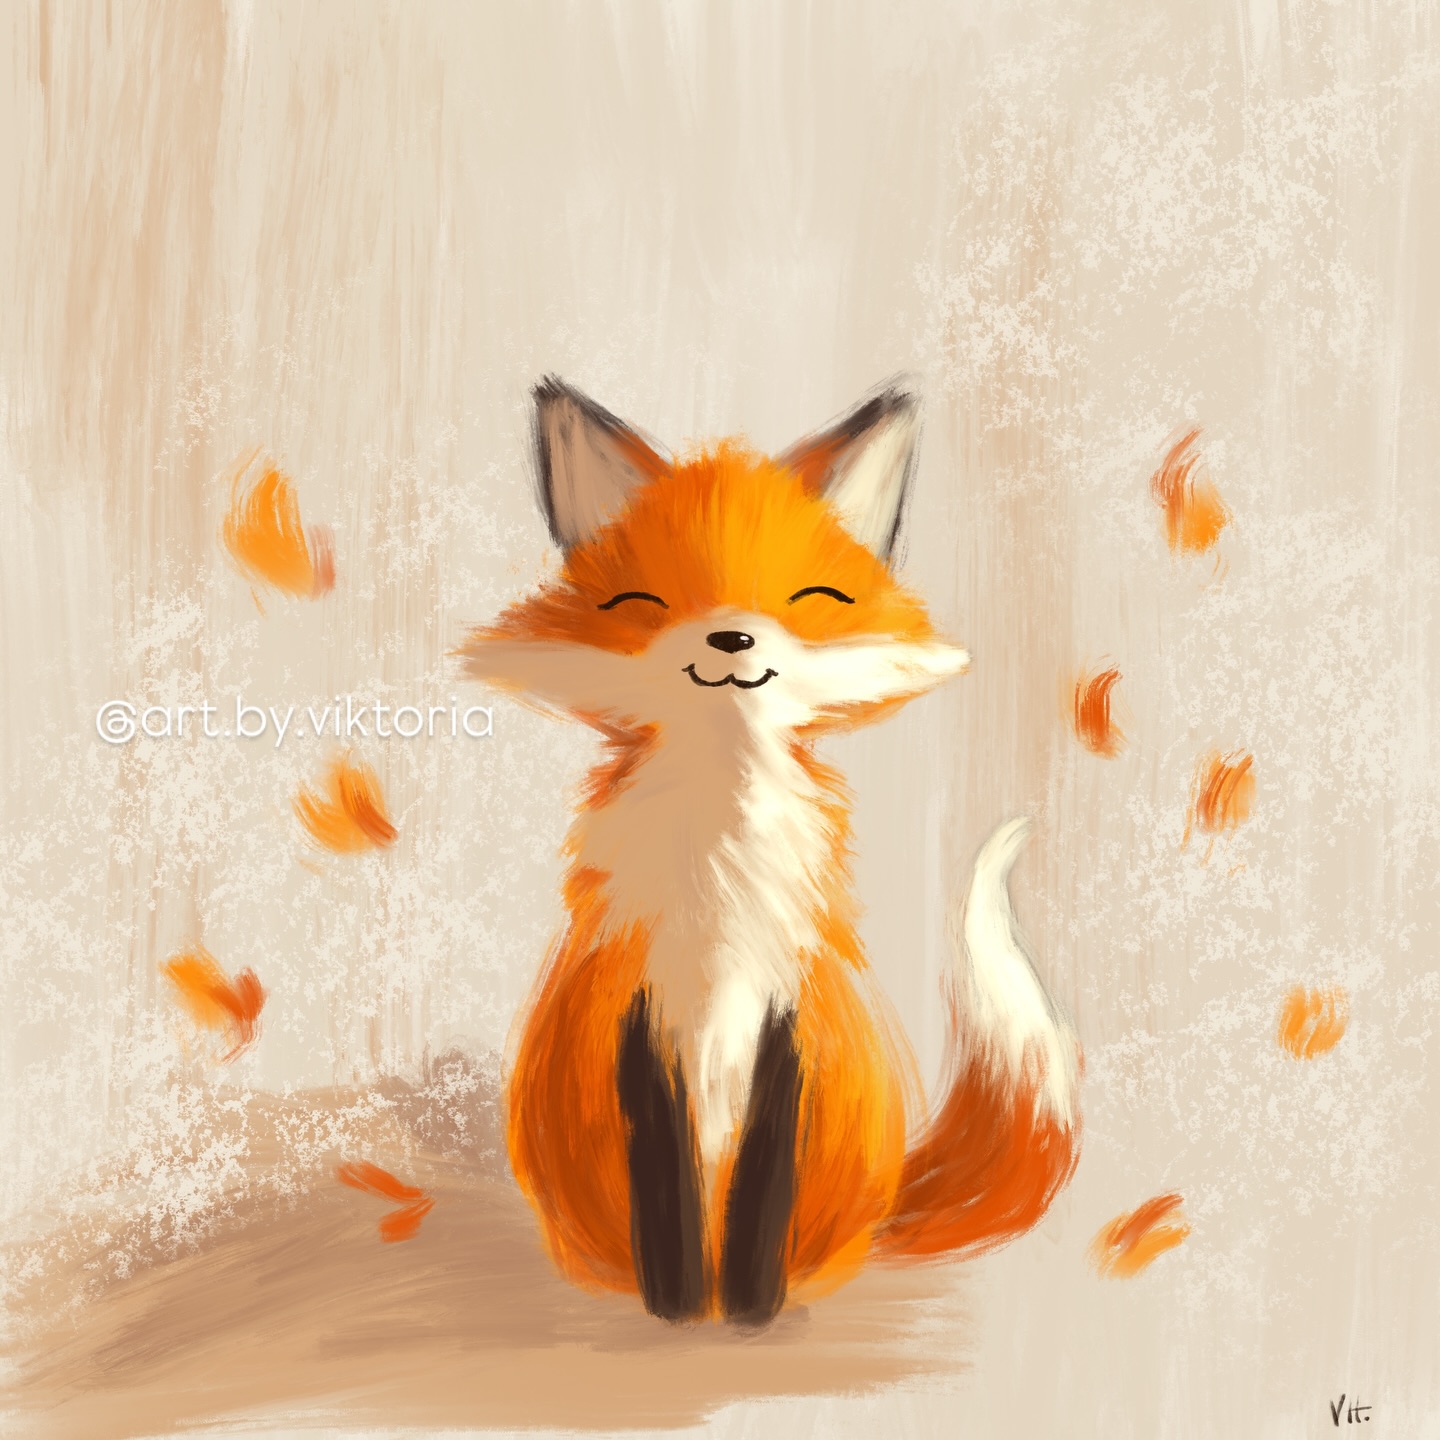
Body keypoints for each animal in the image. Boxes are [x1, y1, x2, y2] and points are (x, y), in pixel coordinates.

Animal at [461, 377, 1081, 1326]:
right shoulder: (638, 1005)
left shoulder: (794, 1009)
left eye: (812, 596)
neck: (719, 877)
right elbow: (666, 1176)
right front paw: (681, 1306)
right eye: (643, 604)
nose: (731, 638)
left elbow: (762, 1174)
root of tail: (884, 1206)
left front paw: (749, 1310)